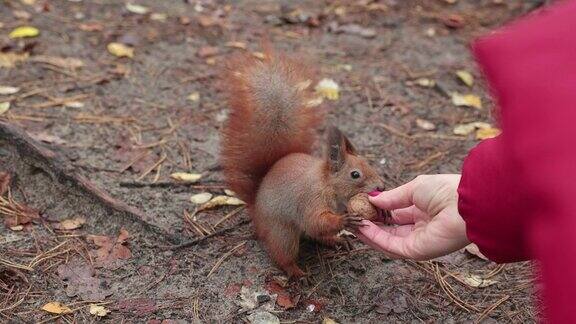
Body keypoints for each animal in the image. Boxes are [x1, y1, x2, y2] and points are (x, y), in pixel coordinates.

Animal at [220, 50, 388, 278]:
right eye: (355, 174)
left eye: (368, 163)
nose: (381, 187)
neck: (328, 184)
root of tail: (256, 208)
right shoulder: (311, 198)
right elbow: (314, 221)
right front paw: (344, 221)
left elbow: (316, 227)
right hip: (282, 232)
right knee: (283, 252)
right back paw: (296, 272)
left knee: (315, 236)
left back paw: (335, 240)